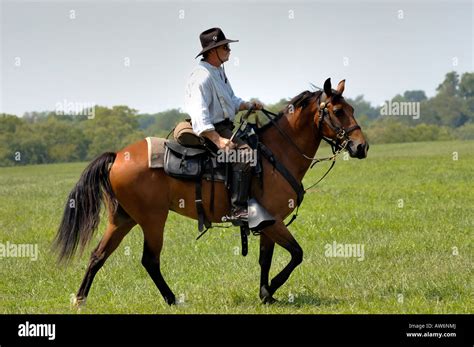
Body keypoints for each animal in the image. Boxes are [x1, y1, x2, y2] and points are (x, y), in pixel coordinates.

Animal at [53, 78, 368, 308]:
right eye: (338, 111)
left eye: (352, 108)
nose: (361, 147)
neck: (277, 154)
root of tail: (117, 156)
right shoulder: (273, 221)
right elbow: (296, 254)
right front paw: (270, 290)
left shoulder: (268, 223)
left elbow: (267, 259)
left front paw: (266, 293)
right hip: (152, 220)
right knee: (149, 260)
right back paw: (172, 300)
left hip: (122, 219)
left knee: (98, 255)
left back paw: (80, 300)